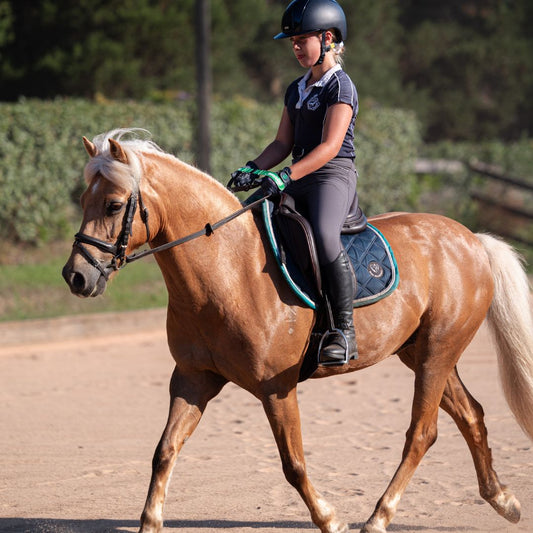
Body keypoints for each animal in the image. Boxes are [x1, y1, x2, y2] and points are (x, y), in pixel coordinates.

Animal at [63, 130, 532, 532]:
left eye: (113, 205)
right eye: (84, 200)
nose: (76, 277)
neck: (228, 268)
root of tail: (471, 239)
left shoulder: (277, 388)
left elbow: (293, 463)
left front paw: (330, 519)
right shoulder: (193, 380)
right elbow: (164, 451)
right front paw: (149, 522)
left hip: (437, 351)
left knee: (422, 432)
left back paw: (379, 517)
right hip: (422, 352)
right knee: (471, 414)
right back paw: (503, 500)